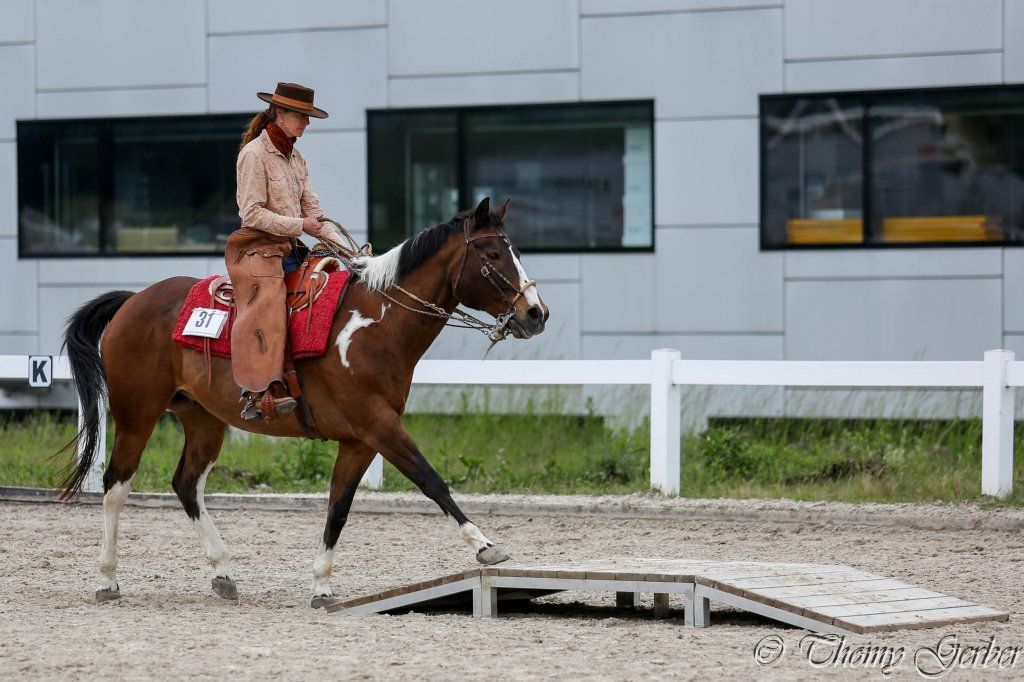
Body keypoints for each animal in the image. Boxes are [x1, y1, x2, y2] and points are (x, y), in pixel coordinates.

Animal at [57, 197, 548, 607]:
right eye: (492, 255)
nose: (536, 313)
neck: (376, 323)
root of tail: (132, 301)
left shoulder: (361, 440)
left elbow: (338, 507)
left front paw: (322, 585)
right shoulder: (380, 426)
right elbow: (432, 481)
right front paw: (485, 546)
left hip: (203, 420)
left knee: (186, 484)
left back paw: (223, 573)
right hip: (136, 415)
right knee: (116, 485)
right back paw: (108, 579)